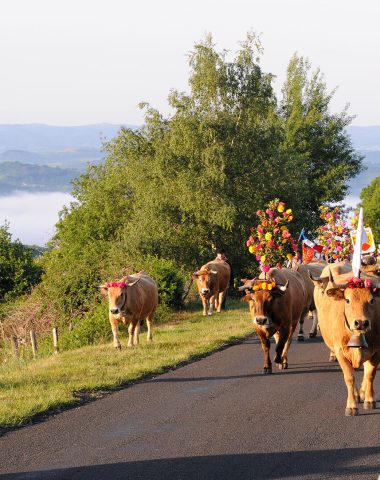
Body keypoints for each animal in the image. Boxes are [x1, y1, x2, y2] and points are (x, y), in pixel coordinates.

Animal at [312, 266, 380, 416]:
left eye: (372, 300)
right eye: (347, 300)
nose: (361, 323)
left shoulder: (377, 351)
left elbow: (370, 375)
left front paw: (369, 400)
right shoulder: (340, 352)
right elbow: (349, 377)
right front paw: (351, 406)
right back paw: (355, 394)